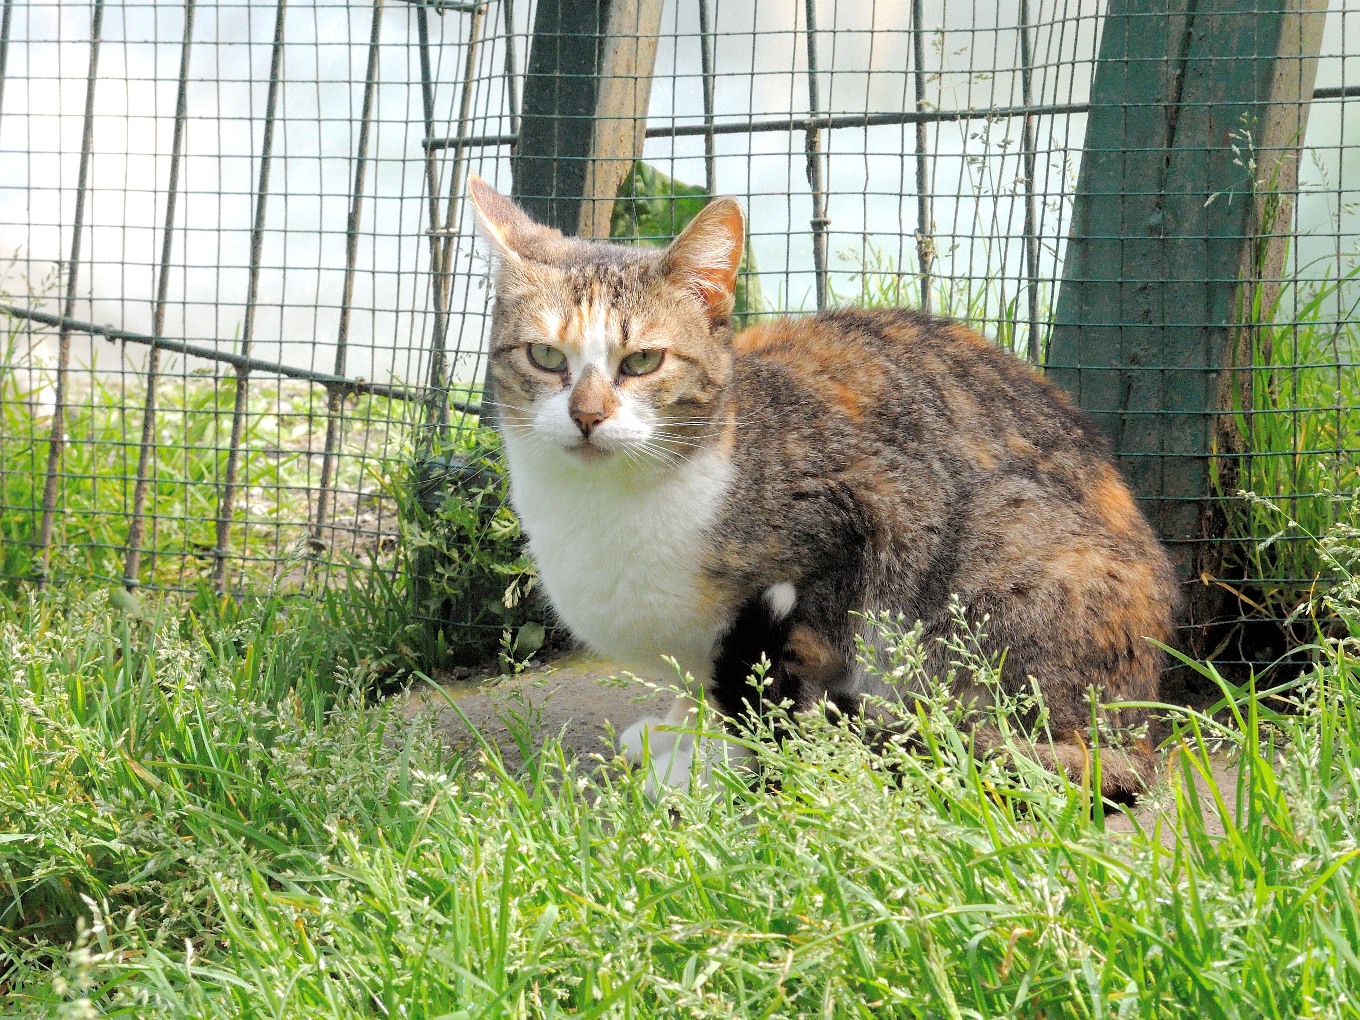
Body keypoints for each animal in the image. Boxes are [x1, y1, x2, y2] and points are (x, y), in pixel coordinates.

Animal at [466, 175, 1177, 802]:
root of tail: (1137, 735)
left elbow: (783, 682)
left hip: (1006, 556)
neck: (606, 507)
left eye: (642, 361)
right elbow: (700, 688)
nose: (586, 416)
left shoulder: (862, 518)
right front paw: (675, 733)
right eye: (545, 357)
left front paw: (713, 764)